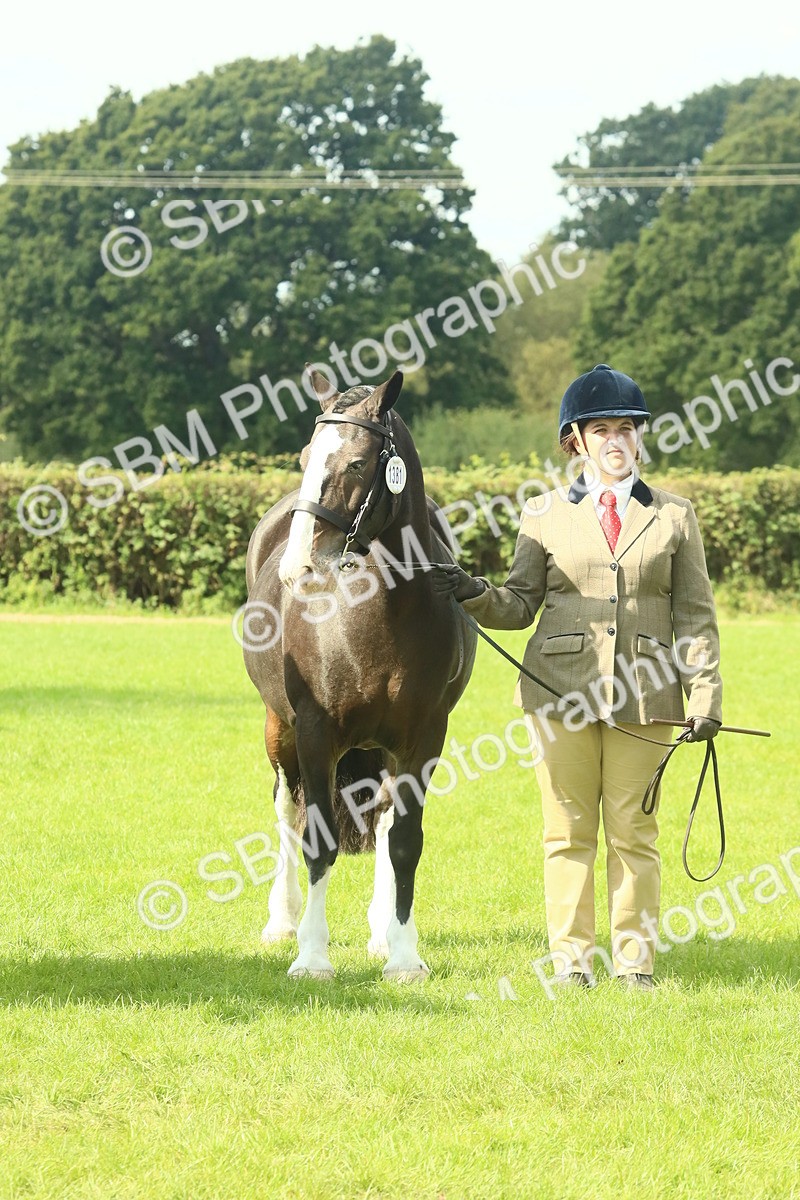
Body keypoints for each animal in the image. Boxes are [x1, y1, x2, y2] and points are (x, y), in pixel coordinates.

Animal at [242, 367, 476, 981]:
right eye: (305, 456)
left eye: (354, 463)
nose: (297, 563)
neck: (381, 614)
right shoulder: (314, 733)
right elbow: (316, 841)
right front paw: (311, 955)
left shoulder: (423, 740)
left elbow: (405, 843)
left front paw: (404, 955)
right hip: (278, 730)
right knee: (285, 811)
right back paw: (281, 922)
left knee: (387, 825)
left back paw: (380, 931)